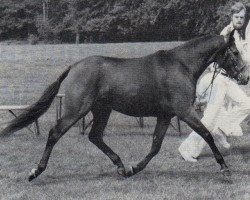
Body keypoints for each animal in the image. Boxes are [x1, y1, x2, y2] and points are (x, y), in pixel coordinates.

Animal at [0, 32, 248, 180]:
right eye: (235, 52)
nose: (244, 77)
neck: (181, 66)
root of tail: (74, 66)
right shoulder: (184, 112)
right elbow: (206, 133)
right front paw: (224, 168)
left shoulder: (165, 116)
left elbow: (155, 146)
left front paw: (134, 168)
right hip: (77, 110)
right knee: (55, 133)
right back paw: (35, 171)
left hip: (102, 110)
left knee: (95, 136)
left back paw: (120, 166)